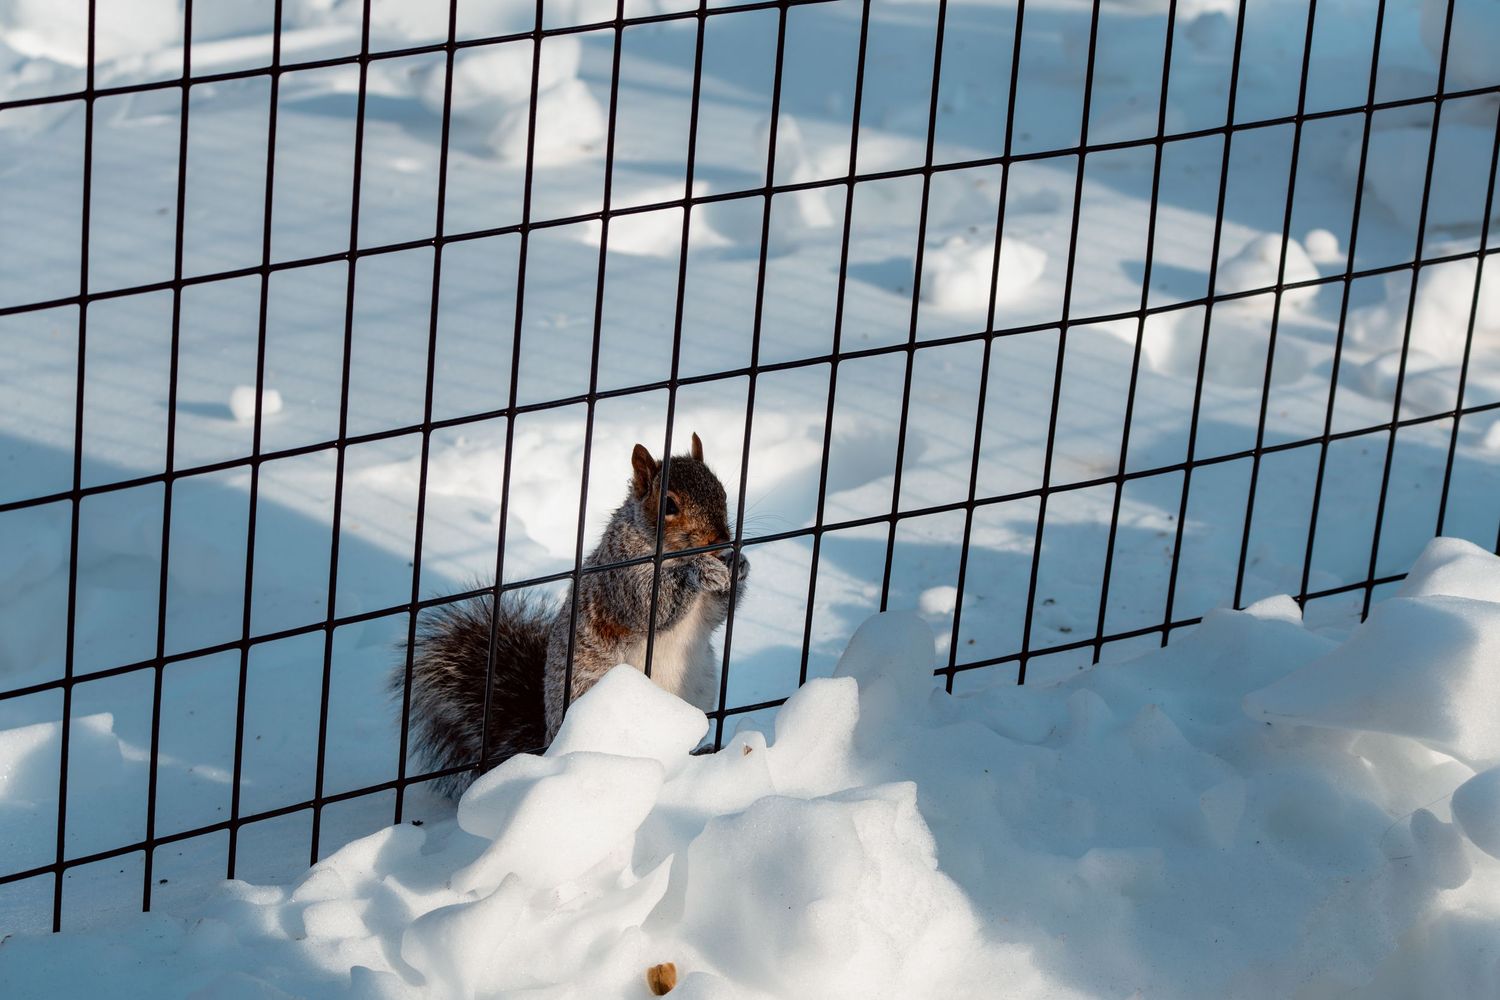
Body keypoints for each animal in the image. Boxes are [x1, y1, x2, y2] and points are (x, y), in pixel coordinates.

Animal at [395, 433, 749, 797]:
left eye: (722, 492)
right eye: (669, 506)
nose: (722, 540)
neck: (673, 554)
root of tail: (549, 747)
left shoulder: (703, 612)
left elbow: (717, 612)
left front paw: (738, 565)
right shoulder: (620, 578)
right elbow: (650, 603)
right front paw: (702, 571)